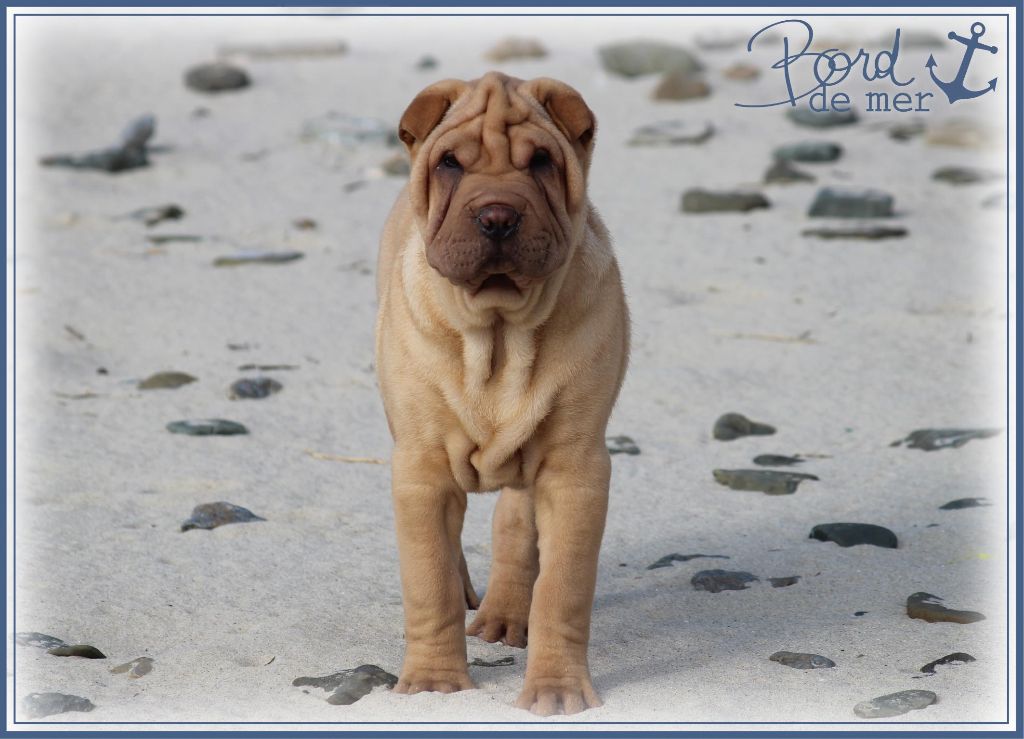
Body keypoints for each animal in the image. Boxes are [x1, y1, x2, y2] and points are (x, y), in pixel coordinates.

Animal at [375, 71, 629, 716]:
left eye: (540, 162)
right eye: (449, 165)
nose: (496, 216)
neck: (497, 330)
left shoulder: (575, 469)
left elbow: (562, 588)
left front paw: (558, 690)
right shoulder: (419, 467)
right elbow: (429, 578)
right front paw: (435, 682)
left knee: (517, 525)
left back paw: (507, 615)